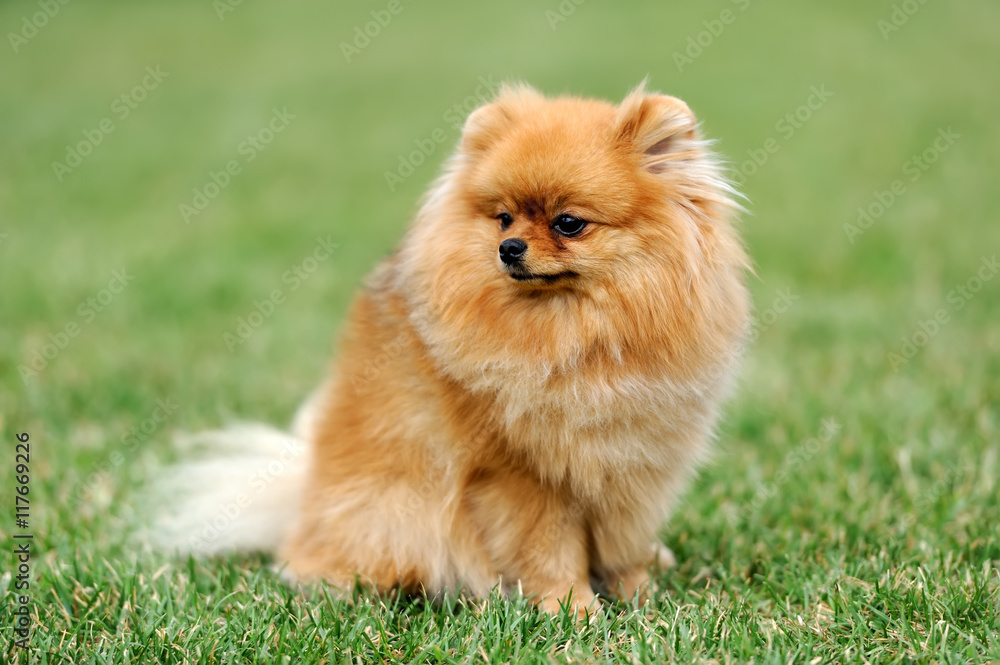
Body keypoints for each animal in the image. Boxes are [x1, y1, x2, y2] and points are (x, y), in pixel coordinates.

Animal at [152, 81, 752, 612]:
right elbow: (549, 551)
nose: (509, 248)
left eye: (568, 223)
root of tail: (302, 502)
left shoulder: (634, 464)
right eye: (504, 217)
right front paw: (573, 611)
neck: (574, 334)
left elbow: (623, 543)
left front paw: (640, 596)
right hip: (393, 515)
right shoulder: (524, 477)